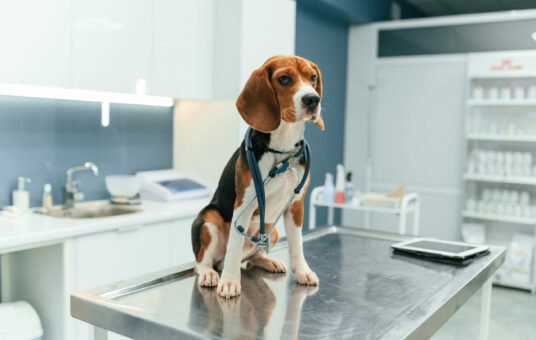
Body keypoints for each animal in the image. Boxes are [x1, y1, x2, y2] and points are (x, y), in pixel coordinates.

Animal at [191, 55, 322, 298]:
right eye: (284, 79)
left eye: (313, 78)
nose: (312, 99)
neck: (282, 150)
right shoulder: (243, 205)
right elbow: (234, 247)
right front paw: (230, 282)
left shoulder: (296, 206)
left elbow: (297, 244)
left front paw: (302, 271)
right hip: (209, 219)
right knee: (204, 260)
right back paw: (210, 274)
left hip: (272, 231)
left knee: (252, 258)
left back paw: (268, 261)